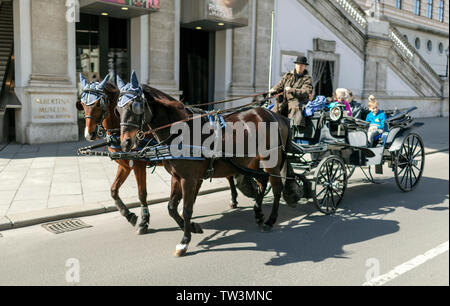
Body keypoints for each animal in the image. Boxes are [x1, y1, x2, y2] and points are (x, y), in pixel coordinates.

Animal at [118, 73, 290, 256]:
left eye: (135, 105)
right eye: (118, 109)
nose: (125, 142)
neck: (181, 131)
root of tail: (275, 115)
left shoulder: (189, 179)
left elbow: (187, 209)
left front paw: (184, 241)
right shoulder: (176, 176)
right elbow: (172, 207)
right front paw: (193, 227)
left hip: (271, 159)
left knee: (277, 187)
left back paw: (270, 220)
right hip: (252, 161)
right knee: (263, 180)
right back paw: (258, 213)